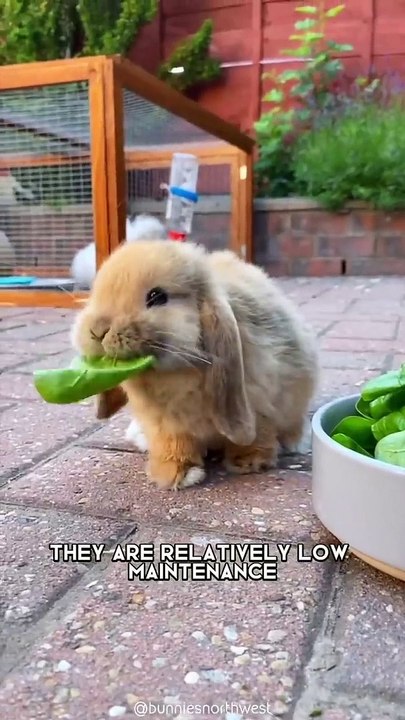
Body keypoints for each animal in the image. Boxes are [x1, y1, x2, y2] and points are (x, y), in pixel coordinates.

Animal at [71, 240, 318, 490]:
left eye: (157, 296)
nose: (97, 331)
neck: (173, 373)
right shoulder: (168, 425)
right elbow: (174, 445)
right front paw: (176, 474)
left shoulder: (259, 400)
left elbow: (258, 431)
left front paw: (250, 461)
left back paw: (295, 441)